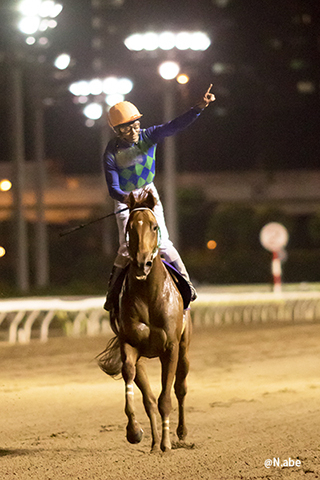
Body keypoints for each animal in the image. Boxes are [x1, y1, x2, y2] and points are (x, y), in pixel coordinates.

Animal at [97, 190, 191, 450]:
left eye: (154, 226)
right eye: (129, 228)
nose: (142, 262)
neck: (149, 295)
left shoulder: (171, 348)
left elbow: (166, 397)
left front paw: (167, 445)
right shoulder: (130, 345)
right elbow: (133, 380)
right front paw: (134, 431)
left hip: (184, 348)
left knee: (180, 388)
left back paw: (180, 432)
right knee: (148, 398)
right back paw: (154, 442)